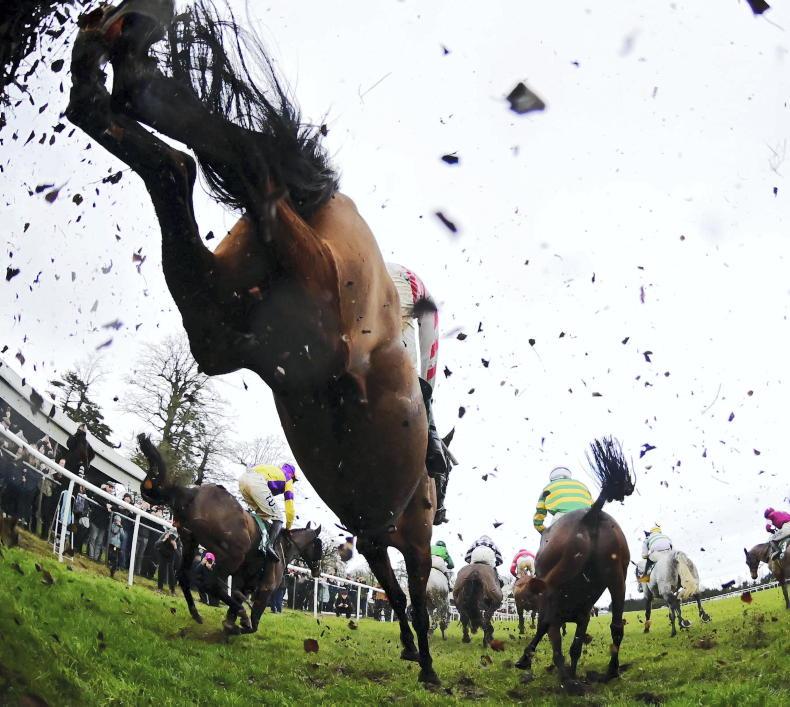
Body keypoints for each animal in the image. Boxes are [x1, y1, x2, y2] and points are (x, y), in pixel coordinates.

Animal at [137, 435, 322, 633]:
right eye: (319, 547)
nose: (317, 570)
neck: (284, 546)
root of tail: (191, 492)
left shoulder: (244, 581)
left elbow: (235, 600)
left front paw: (231, 622)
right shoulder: (266, 588)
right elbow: (254, 622)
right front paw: (241, 623)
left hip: (190, 542)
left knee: (184, 576)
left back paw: (196, 613)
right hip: (232, 554)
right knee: (210, 583)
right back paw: (238, 612)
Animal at [514, 437, 635, 695]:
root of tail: (591, 515)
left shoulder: (554, 609)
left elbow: (551, 637)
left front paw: (529, 660)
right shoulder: (583, 616)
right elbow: (575, 647)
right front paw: (573, 673)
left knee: (552, 636)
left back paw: (568, 682)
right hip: (617, 576)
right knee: (617, 625)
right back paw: (611, 671)